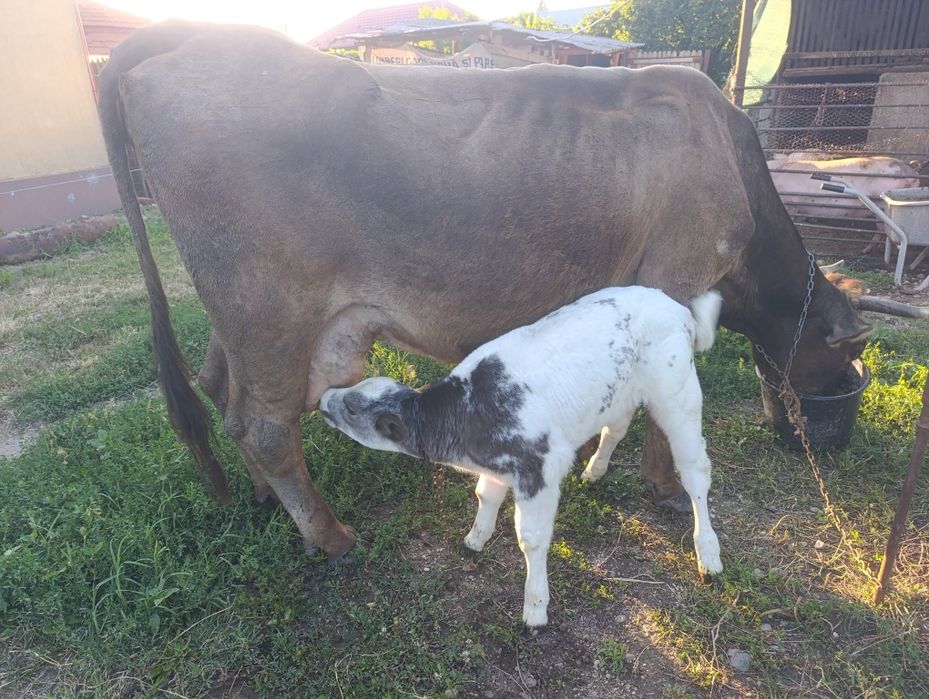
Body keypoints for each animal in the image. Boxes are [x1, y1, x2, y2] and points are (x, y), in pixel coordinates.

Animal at [98, 22, 874, 560]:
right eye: (842, 360)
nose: (814, 429)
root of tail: (193, 33)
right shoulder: (674, 282)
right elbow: (660, 414)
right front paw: (662, 487)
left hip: (240, 314)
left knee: (218, 387)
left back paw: (265, 499)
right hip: (270, 308)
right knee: (259, 423)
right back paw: (330, 535)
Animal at [320, 286, 724, 626]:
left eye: (352, 408)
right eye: (354, 389)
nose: (324, 399)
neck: (467, 413)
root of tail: (676, 308)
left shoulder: (539, 469)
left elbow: (530, 537)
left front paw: (535, 607)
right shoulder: (499, 467)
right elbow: (485, 496)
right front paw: (475, 539)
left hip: (679, 396)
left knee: (695, 471)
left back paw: (709, 554)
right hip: (620, 395)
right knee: (617, 427)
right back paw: (595, 470)